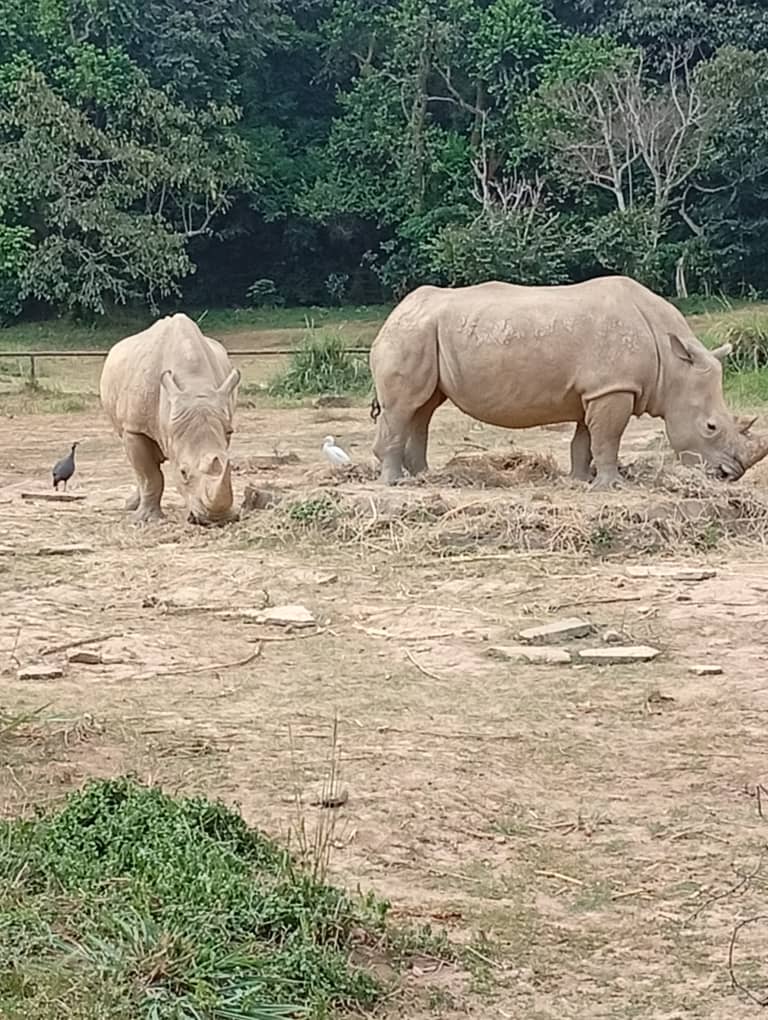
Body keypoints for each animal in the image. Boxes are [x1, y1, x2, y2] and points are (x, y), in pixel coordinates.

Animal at [100, 313, 240, 525]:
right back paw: (131, 506)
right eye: (183, 472)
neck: (195, 388)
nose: (218, 519)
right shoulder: (134, 428)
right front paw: (146, 520)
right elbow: (150, 475)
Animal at [369, 276, 768, 488]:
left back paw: (423, 477)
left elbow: (585, 441)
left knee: (424, 407)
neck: (672, 365)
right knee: (405, 407)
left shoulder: (596, 390)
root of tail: (394, 315)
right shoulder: (613, 387)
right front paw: (611, 486)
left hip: (423, 332)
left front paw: (579, 481)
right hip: (410, 334)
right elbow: (608, 438)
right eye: (711, 426)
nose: (728, 475)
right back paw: (394, 483)